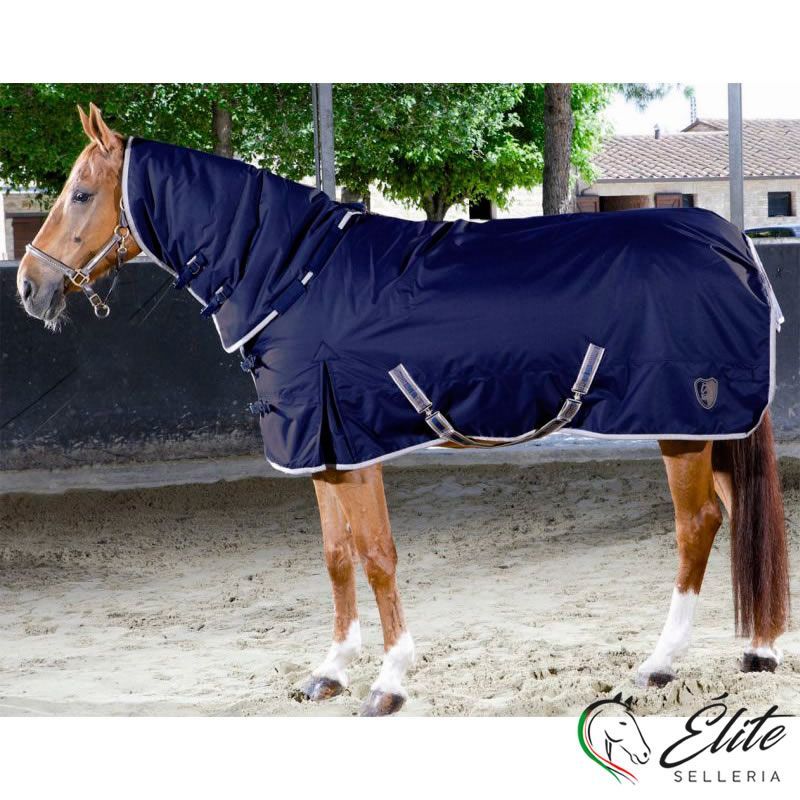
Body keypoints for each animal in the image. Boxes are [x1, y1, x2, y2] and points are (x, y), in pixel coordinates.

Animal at [16, 103, 790, 716]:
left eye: (81, 193)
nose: (27, 285)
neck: (296, 276)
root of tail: (734, 245)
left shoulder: (354, 444)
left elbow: (378, 555)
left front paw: (389, 681)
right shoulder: (322, 451)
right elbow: (336, 557)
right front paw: (328, 671)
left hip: (682, 426)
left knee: (699, 523)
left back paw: (660, 664)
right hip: (714, 428)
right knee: (741, 511)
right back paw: (759, 651)